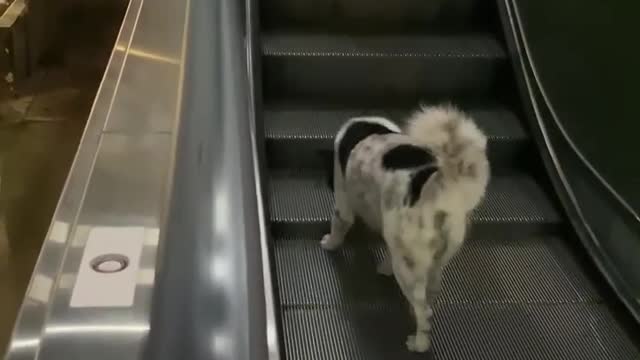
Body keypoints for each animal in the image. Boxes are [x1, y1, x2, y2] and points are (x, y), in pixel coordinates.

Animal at [320, 104, 490, 352]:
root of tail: (436, 188)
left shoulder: (343, 200)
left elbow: (338, 226)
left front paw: (329, 243)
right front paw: (384, 266)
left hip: (408, 267)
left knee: (422, 313)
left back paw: (418, 343)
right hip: (438, 258)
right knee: (430, 294)